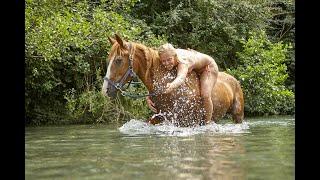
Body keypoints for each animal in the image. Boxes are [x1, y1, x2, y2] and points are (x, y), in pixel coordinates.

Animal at [101, 33, 244, 126]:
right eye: (108, 60)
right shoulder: (161, 117)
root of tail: (234, 80)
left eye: (118, 60)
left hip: (238, 115)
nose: (105, 91)